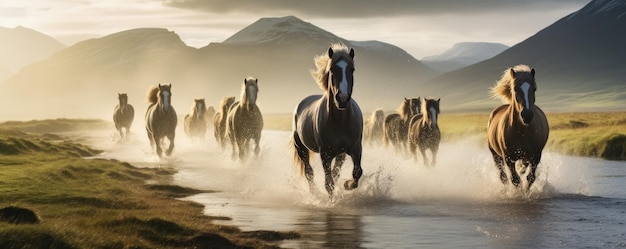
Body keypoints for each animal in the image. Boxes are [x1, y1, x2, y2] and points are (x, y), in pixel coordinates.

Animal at [288, 43, 360, 197]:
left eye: (351, 69)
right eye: (332, 69)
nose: (342, 98)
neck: (340, 122)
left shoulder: (356, 149)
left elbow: (356, 172)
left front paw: (347, 184)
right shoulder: (325, 155)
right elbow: (329, 184)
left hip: (340, 154)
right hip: (301, 148)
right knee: (309, 172)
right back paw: (314, 193)